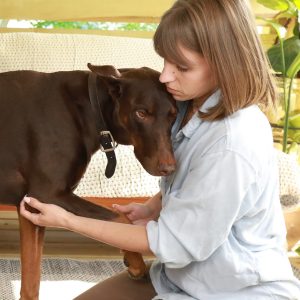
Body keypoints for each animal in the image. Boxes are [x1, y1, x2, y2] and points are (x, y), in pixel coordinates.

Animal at [0, 65, 177, 300]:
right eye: (141, 113)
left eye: (173, 115)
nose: (169, 168)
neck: (89, 108)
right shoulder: (45, 194)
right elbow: (120, 217)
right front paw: (136, 263)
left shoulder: (30, 206)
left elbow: (31, 282)